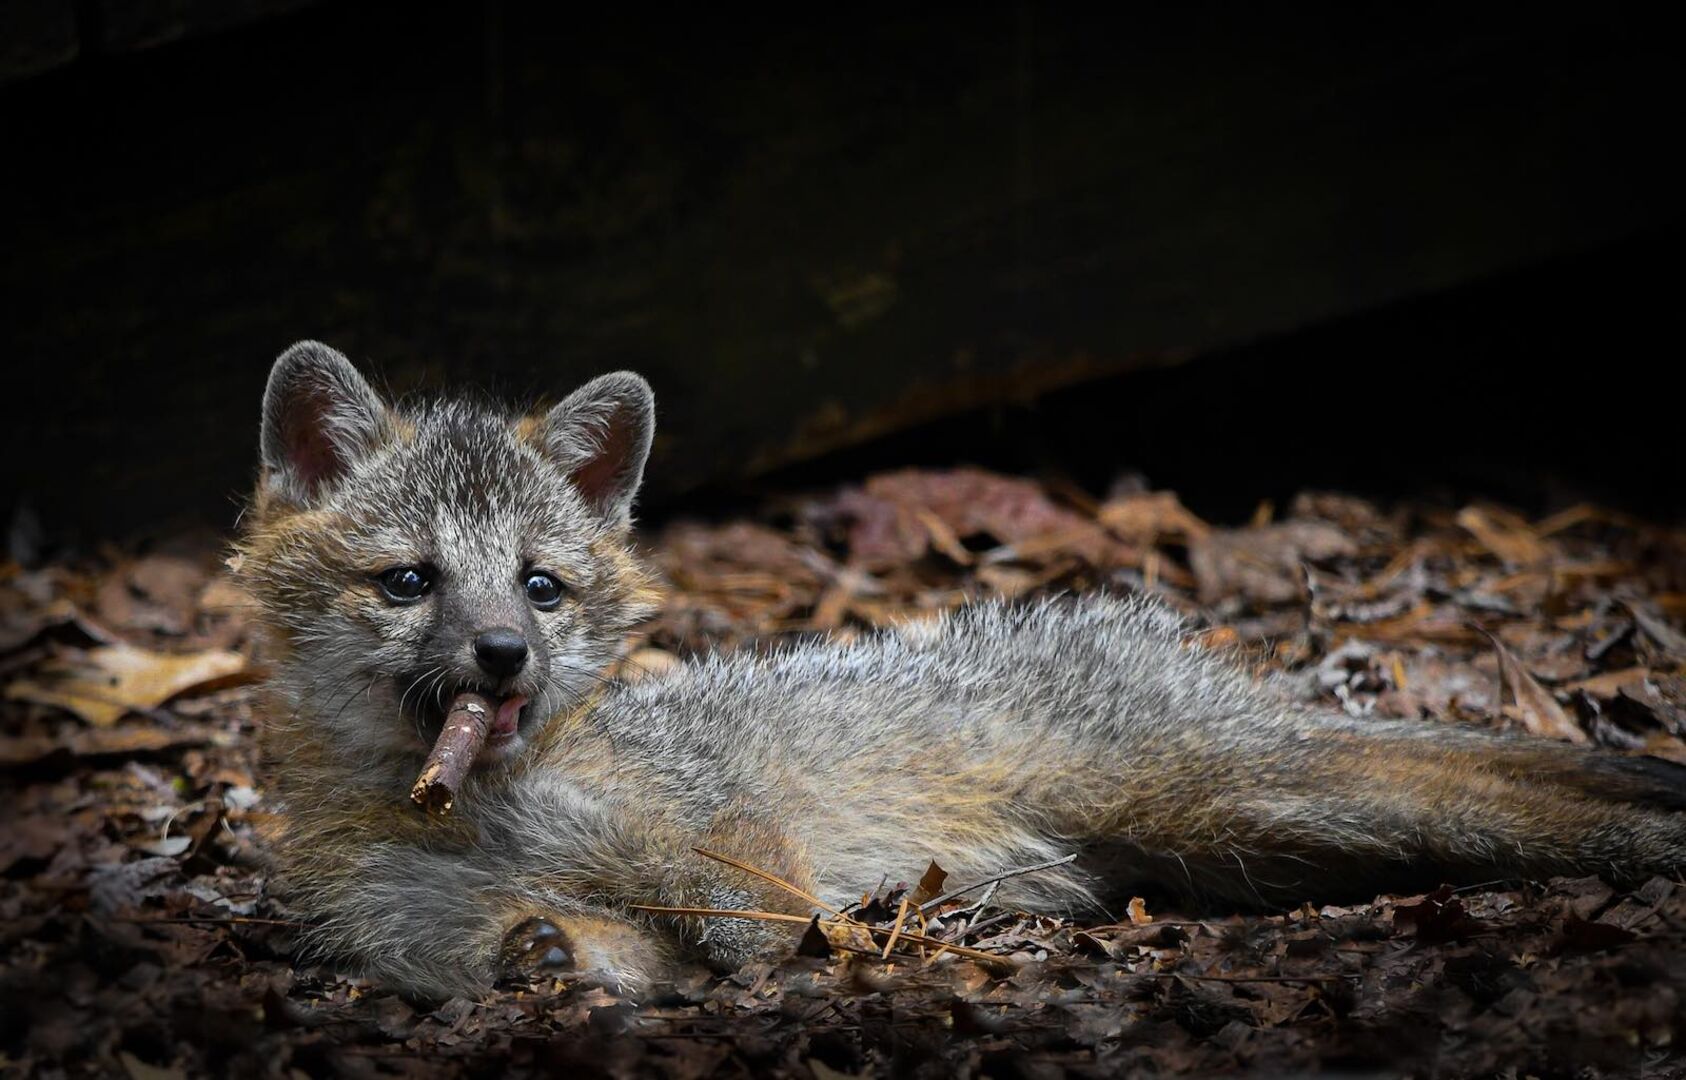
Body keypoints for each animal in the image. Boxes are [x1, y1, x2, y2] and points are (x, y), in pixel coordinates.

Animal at [239, 340, 1686, 1000]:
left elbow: (759, 920)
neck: (490, 811)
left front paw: (834, 955)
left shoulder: (723, 839)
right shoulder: (455, 933)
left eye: (539, 586)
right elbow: (568, 950)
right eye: (410, 582)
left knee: (1519, 801)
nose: (503, 653)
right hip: (1242, 841)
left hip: (1245, 801)